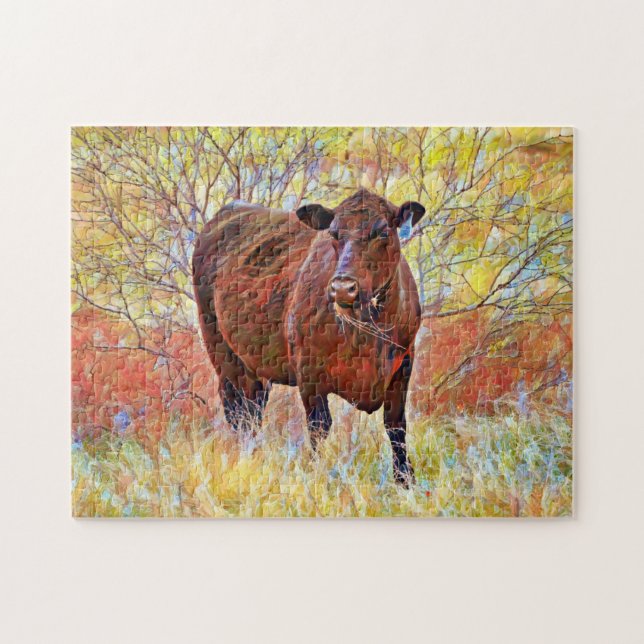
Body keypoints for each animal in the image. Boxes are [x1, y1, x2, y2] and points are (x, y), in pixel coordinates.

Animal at [192, 189, 426, 485]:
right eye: (334, 233)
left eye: (383, 231)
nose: (343, 288)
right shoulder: (309, 372)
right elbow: (319, 427)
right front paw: (319, 476)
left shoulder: (403, 365)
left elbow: (396, 426)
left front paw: (405, 480)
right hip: (222, 352)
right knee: (240, 414)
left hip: (253, 367)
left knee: (254, 409)